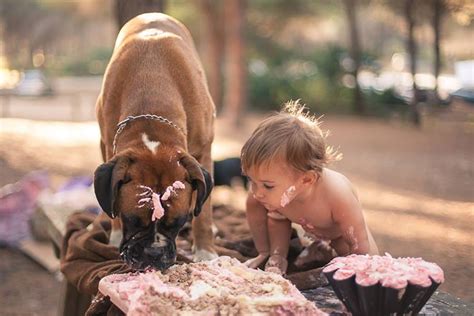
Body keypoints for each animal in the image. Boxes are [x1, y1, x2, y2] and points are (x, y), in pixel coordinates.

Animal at [92, 13, 217, 270]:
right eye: (132, 220)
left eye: (177, 223)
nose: (154, 252)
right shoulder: (111, 148)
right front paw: (116, 234)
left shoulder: (203, 152)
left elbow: (204, 212)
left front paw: (205, 251)